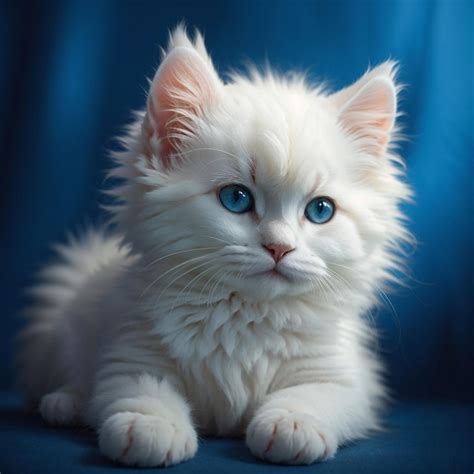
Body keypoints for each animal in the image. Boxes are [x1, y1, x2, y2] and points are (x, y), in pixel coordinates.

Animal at [16, 26, 412, 466]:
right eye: (236, 199)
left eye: (320, 210)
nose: (280, 247)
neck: (246, 319)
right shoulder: (133, 351)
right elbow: (144, 390)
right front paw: (151, 428)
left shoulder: (344, 379)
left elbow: (312, 396)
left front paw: (291, 425)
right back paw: (64, 403)